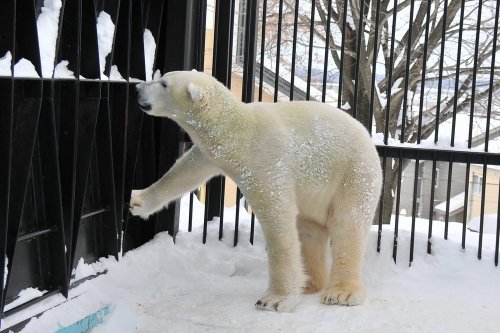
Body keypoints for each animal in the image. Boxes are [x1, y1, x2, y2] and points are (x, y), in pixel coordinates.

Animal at [130, 70, 382, 312]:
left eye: (164, 84)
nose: (137, 88)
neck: (237, 131)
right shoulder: (215, 153)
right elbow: (186, 171)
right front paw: (138, 201)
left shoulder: (266, 161)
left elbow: (277, 217)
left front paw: (275, 300)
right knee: (310, 232)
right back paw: (309, 283)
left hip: (354, 174)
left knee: (347, 226)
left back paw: (340, 293)